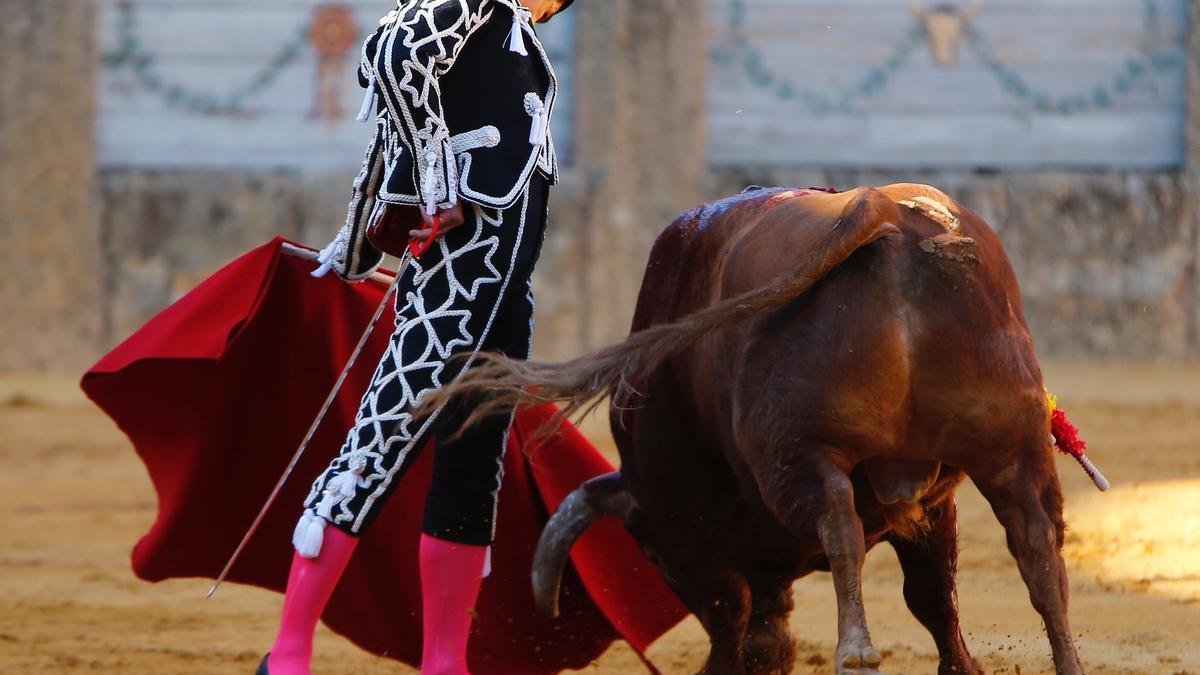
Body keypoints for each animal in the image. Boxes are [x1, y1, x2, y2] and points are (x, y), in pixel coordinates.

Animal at [427, 183, 1094, 672]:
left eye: (652, 556)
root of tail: (881, 210)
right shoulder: (931, 502)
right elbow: (929, 592)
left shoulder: (697, 528)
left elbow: (737, 612)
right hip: (1011, 444)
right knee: (1037, 546)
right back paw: (1064, 660)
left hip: (795, 453)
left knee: (837, 521)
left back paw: (855, 651)